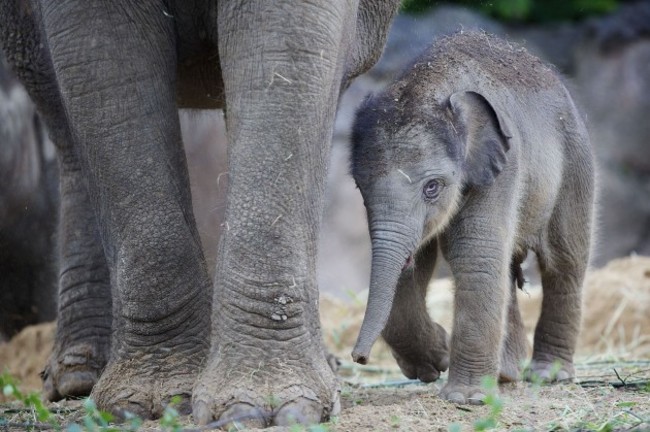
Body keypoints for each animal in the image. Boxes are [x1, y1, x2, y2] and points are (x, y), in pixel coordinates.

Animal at [0, 0, 398, 426]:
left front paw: (267, 407)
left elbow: (286, 55)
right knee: (61, 120)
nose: (360, 357)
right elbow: (104, 67)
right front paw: (153, 402)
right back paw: (78, 379)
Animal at [350, 31, 592, 404]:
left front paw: (464, 398)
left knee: (564, 260)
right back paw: (506, 374)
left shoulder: (503, 166)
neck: (431, 84)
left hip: (576, 162)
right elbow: (421, 261)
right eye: (360, 187)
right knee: (508, 266)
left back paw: (549, 375)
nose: (359, 358)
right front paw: (435, 360)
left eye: (432, 187)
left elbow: (475, 255)